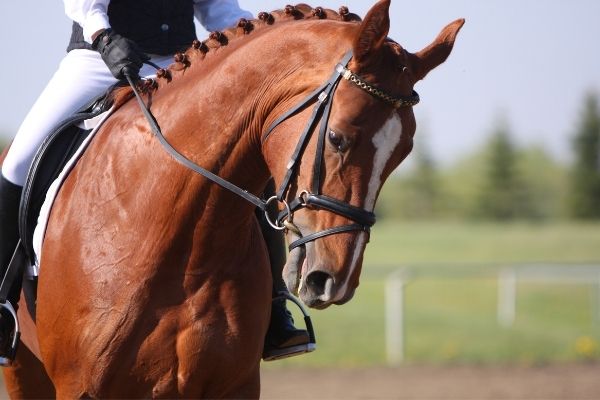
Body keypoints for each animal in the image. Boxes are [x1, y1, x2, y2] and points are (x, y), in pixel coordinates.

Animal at [2, 1, 464, 398]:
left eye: (403, 152)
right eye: (337, 137)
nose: (334, 279)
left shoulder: (233, 386)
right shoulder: (83, 387)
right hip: (24, 369)